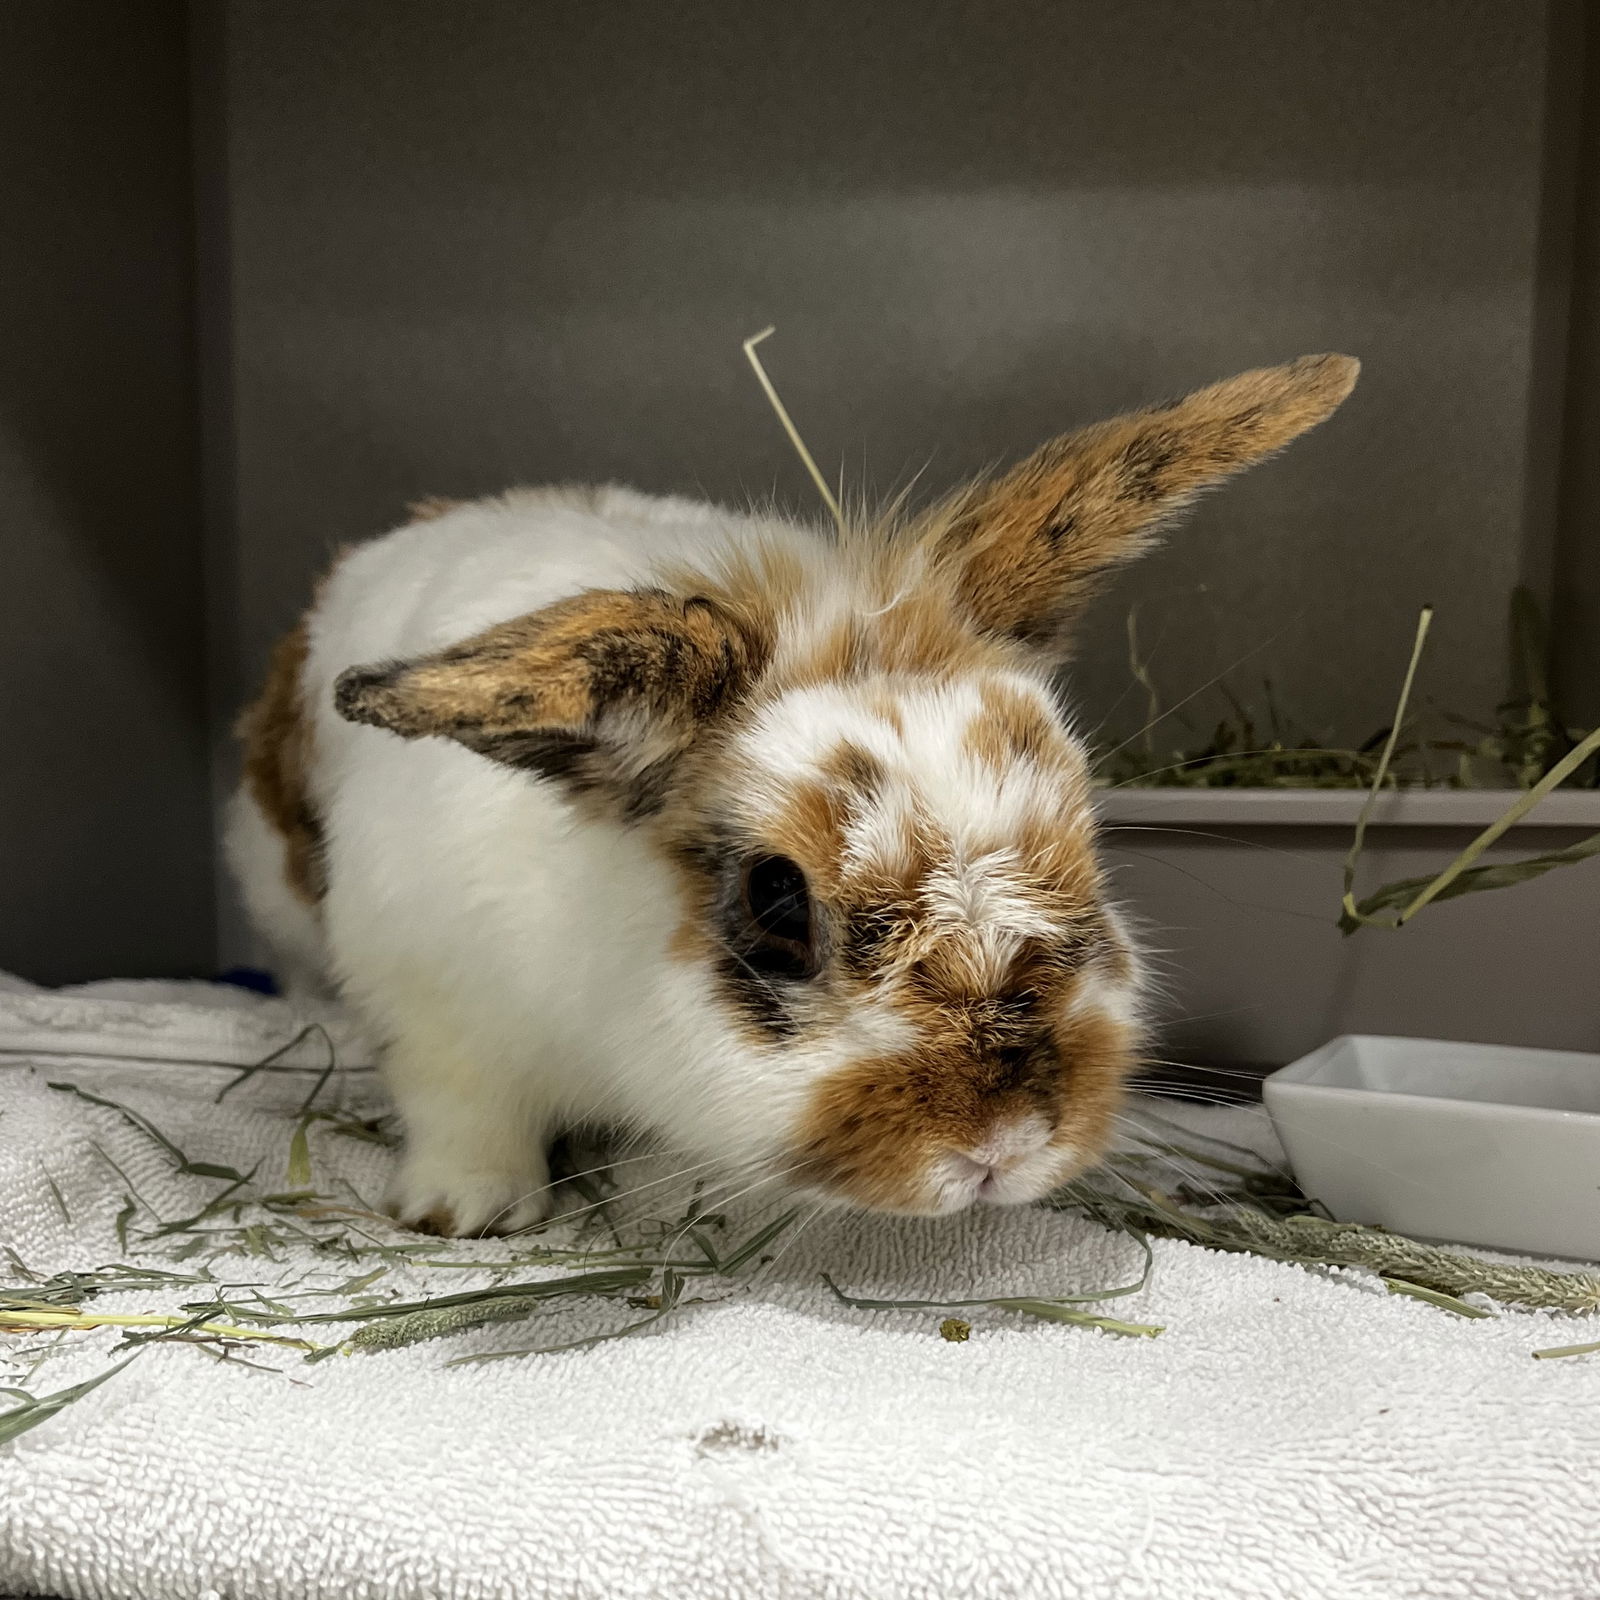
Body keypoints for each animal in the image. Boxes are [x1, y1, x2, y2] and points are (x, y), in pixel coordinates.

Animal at [222, 356, 1350, 1235]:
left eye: (1090, 854)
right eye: (775, 903)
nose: (1002, 1147)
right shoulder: (438, 1015)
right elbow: (465, 1114)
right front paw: (467, 1212)